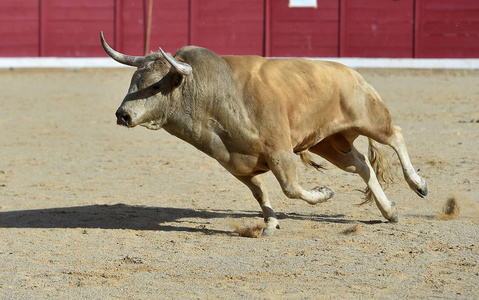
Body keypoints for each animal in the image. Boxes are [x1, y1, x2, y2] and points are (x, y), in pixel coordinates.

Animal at [100, 31, 428, 236]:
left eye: (156, 85)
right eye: (134, 79)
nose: (122, 114)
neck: (216, 95)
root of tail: (350, 72)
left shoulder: (279, 152)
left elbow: (291, 188)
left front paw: (324, 193)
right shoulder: (237, 164)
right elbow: (260, 193)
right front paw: (270, 224)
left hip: (368, 117)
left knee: (395, 135)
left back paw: (418, 184)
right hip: (328, 142)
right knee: (362, 164)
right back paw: (389, 211)